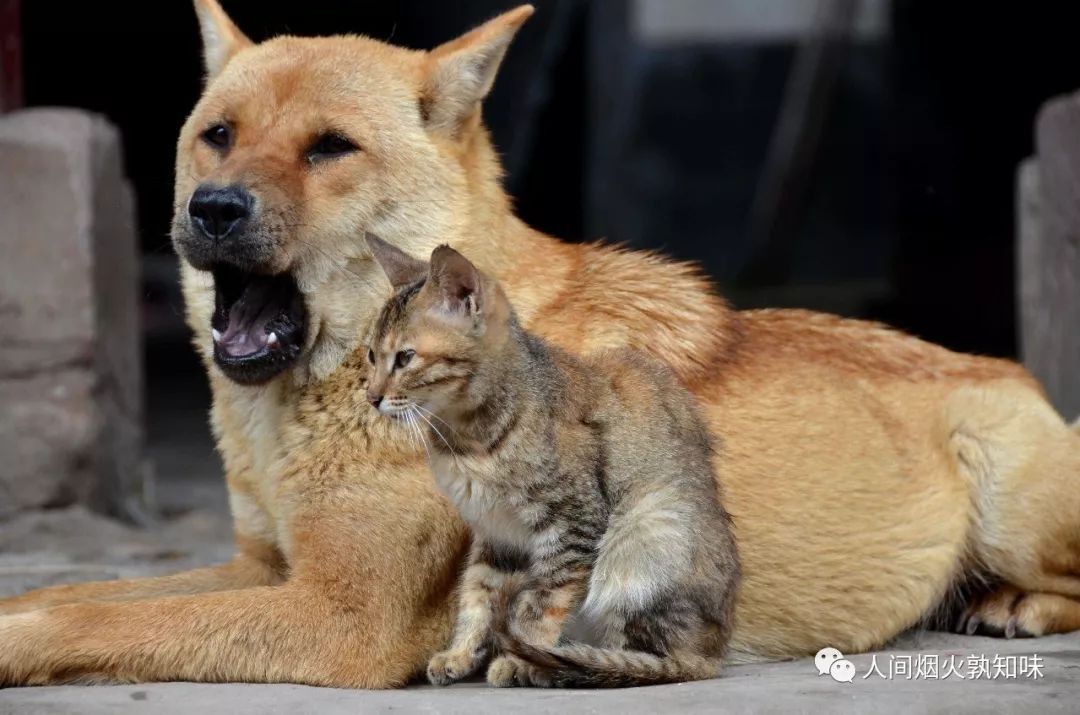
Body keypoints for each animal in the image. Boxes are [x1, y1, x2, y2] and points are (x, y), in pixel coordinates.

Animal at [365, 236, 743, 691]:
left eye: (405, 358)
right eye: (371, 356)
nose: (370, 396)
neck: (467, 440)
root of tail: (713, 652)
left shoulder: (573, 523)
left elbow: (542, 601)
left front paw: (519, 658)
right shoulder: (495, 534)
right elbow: (477, 594)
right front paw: (461, 653)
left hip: (648, 526)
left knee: (648, 655)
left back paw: (565, 665)